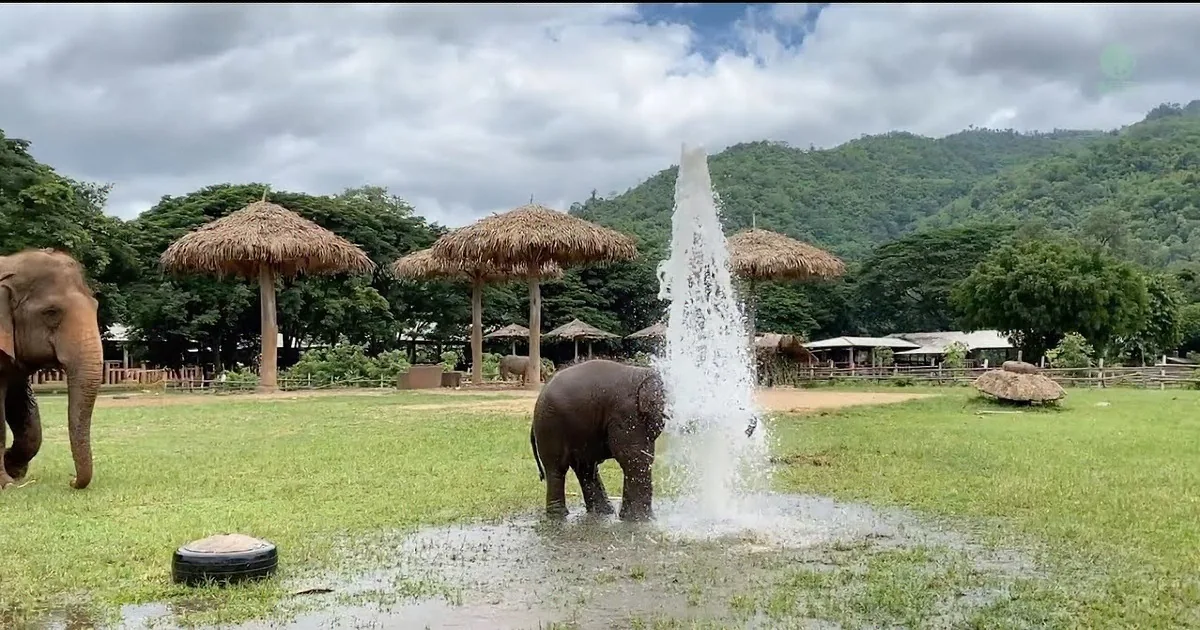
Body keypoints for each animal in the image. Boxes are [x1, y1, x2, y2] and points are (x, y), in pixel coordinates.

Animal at [0, 249, 103, 490]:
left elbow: (26, 415)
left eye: (95, 306)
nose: (71, 480)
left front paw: (14, 470)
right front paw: (7, 485)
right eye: (51, 312)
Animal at [529, 359, 665, 521]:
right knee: (557, 469)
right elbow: (634, 456)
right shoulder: (626, 412)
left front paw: (631, 519)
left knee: (586, 468)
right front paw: (641, 520)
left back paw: (602, 512)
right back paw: (559, 516)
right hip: (551, 426)